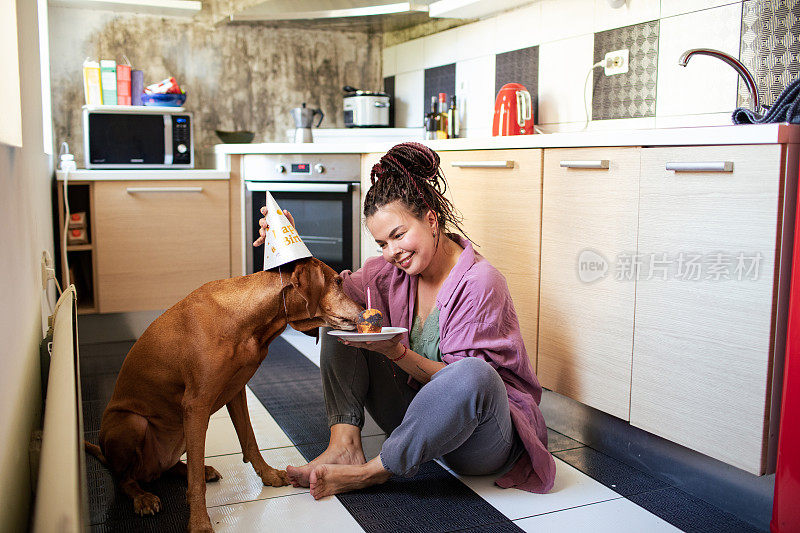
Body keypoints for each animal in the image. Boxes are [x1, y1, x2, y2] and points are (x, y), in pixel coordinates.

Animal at [83, 256, 362, 528]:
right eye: (338, 281)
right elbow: (195, 481)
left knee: (171, 467)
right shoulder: (196, 405)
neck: (248, 319)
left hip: (179, 434)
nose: (363, 310)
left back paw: (199, 470)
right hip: (132, 422)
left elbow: (249, 440)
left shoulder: (236, 391)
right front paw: (199, 522)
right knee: (125, 479)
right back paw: (142, 497)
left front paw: (268, 474)